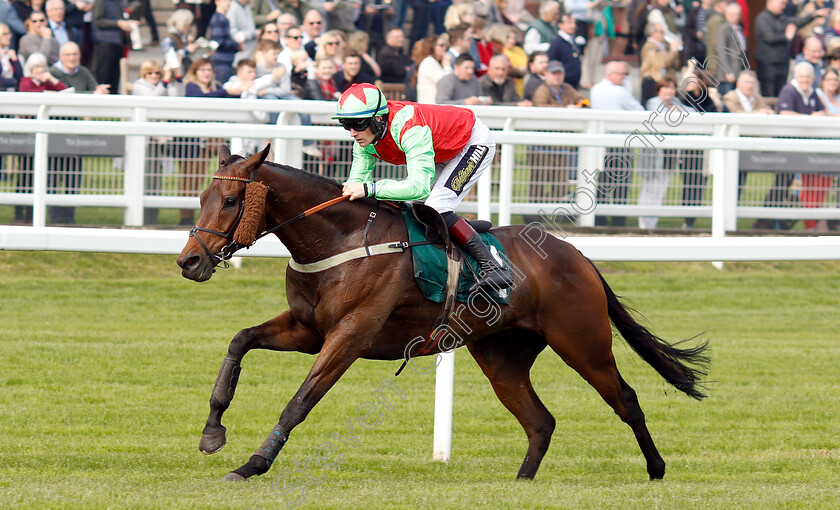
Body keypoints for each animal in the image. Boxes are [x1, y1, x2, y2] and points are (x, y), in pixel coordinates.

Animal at [177, 144, 708, 482]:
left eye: (230, 200)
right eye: (201, 198)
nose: (189, 261)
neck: (341, 239)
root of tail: (576, 255)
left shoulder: (350, 335)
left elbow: (300, 400)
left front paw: (253, 464)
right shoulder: (308, 329)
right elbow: (240, 340)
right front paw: (212, 431)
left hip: (582, 341)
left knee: (625, 398)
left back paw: (656, 469)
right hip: (501, 355)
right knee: (540, 421)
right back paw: (521, 483)